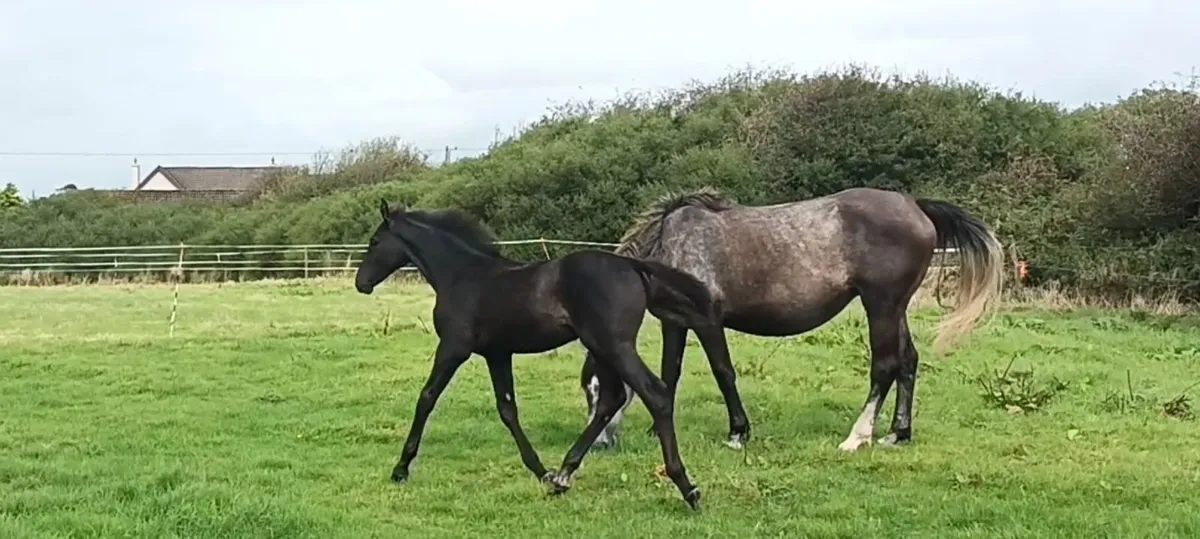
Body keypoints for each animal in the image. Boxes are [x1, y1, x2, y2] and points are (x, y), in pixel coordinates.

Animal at [353, 199, 723, 510]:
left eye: (374, 241)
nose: (361, 283)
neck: (461, 276)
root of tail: (631, 265)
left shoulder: (454, 348)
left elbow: (427, 397)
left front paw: (401, 468)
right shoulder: (497, 353)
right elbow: (508, 409)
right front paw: (541, 472)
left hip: (613, 345)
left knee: (654, 393)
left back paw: (687, 488)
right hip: (601, 348)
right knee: (612, 399)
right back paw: (563, 475)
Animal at [579, 187, 1004, 453]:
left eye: (599, 389)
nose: (598, 442)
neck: (672, 249)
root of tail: (916, 205)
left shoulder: (707, 321)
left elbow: (723, 372)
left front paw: (738, 432)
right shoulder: (675, 323)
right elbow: (671, 371)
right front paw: (658, 428)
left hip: (881, 305)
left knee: (885, 366)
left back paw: (857, 437)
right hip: (895, 308)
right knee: (908, 362)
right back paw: (898, 434)